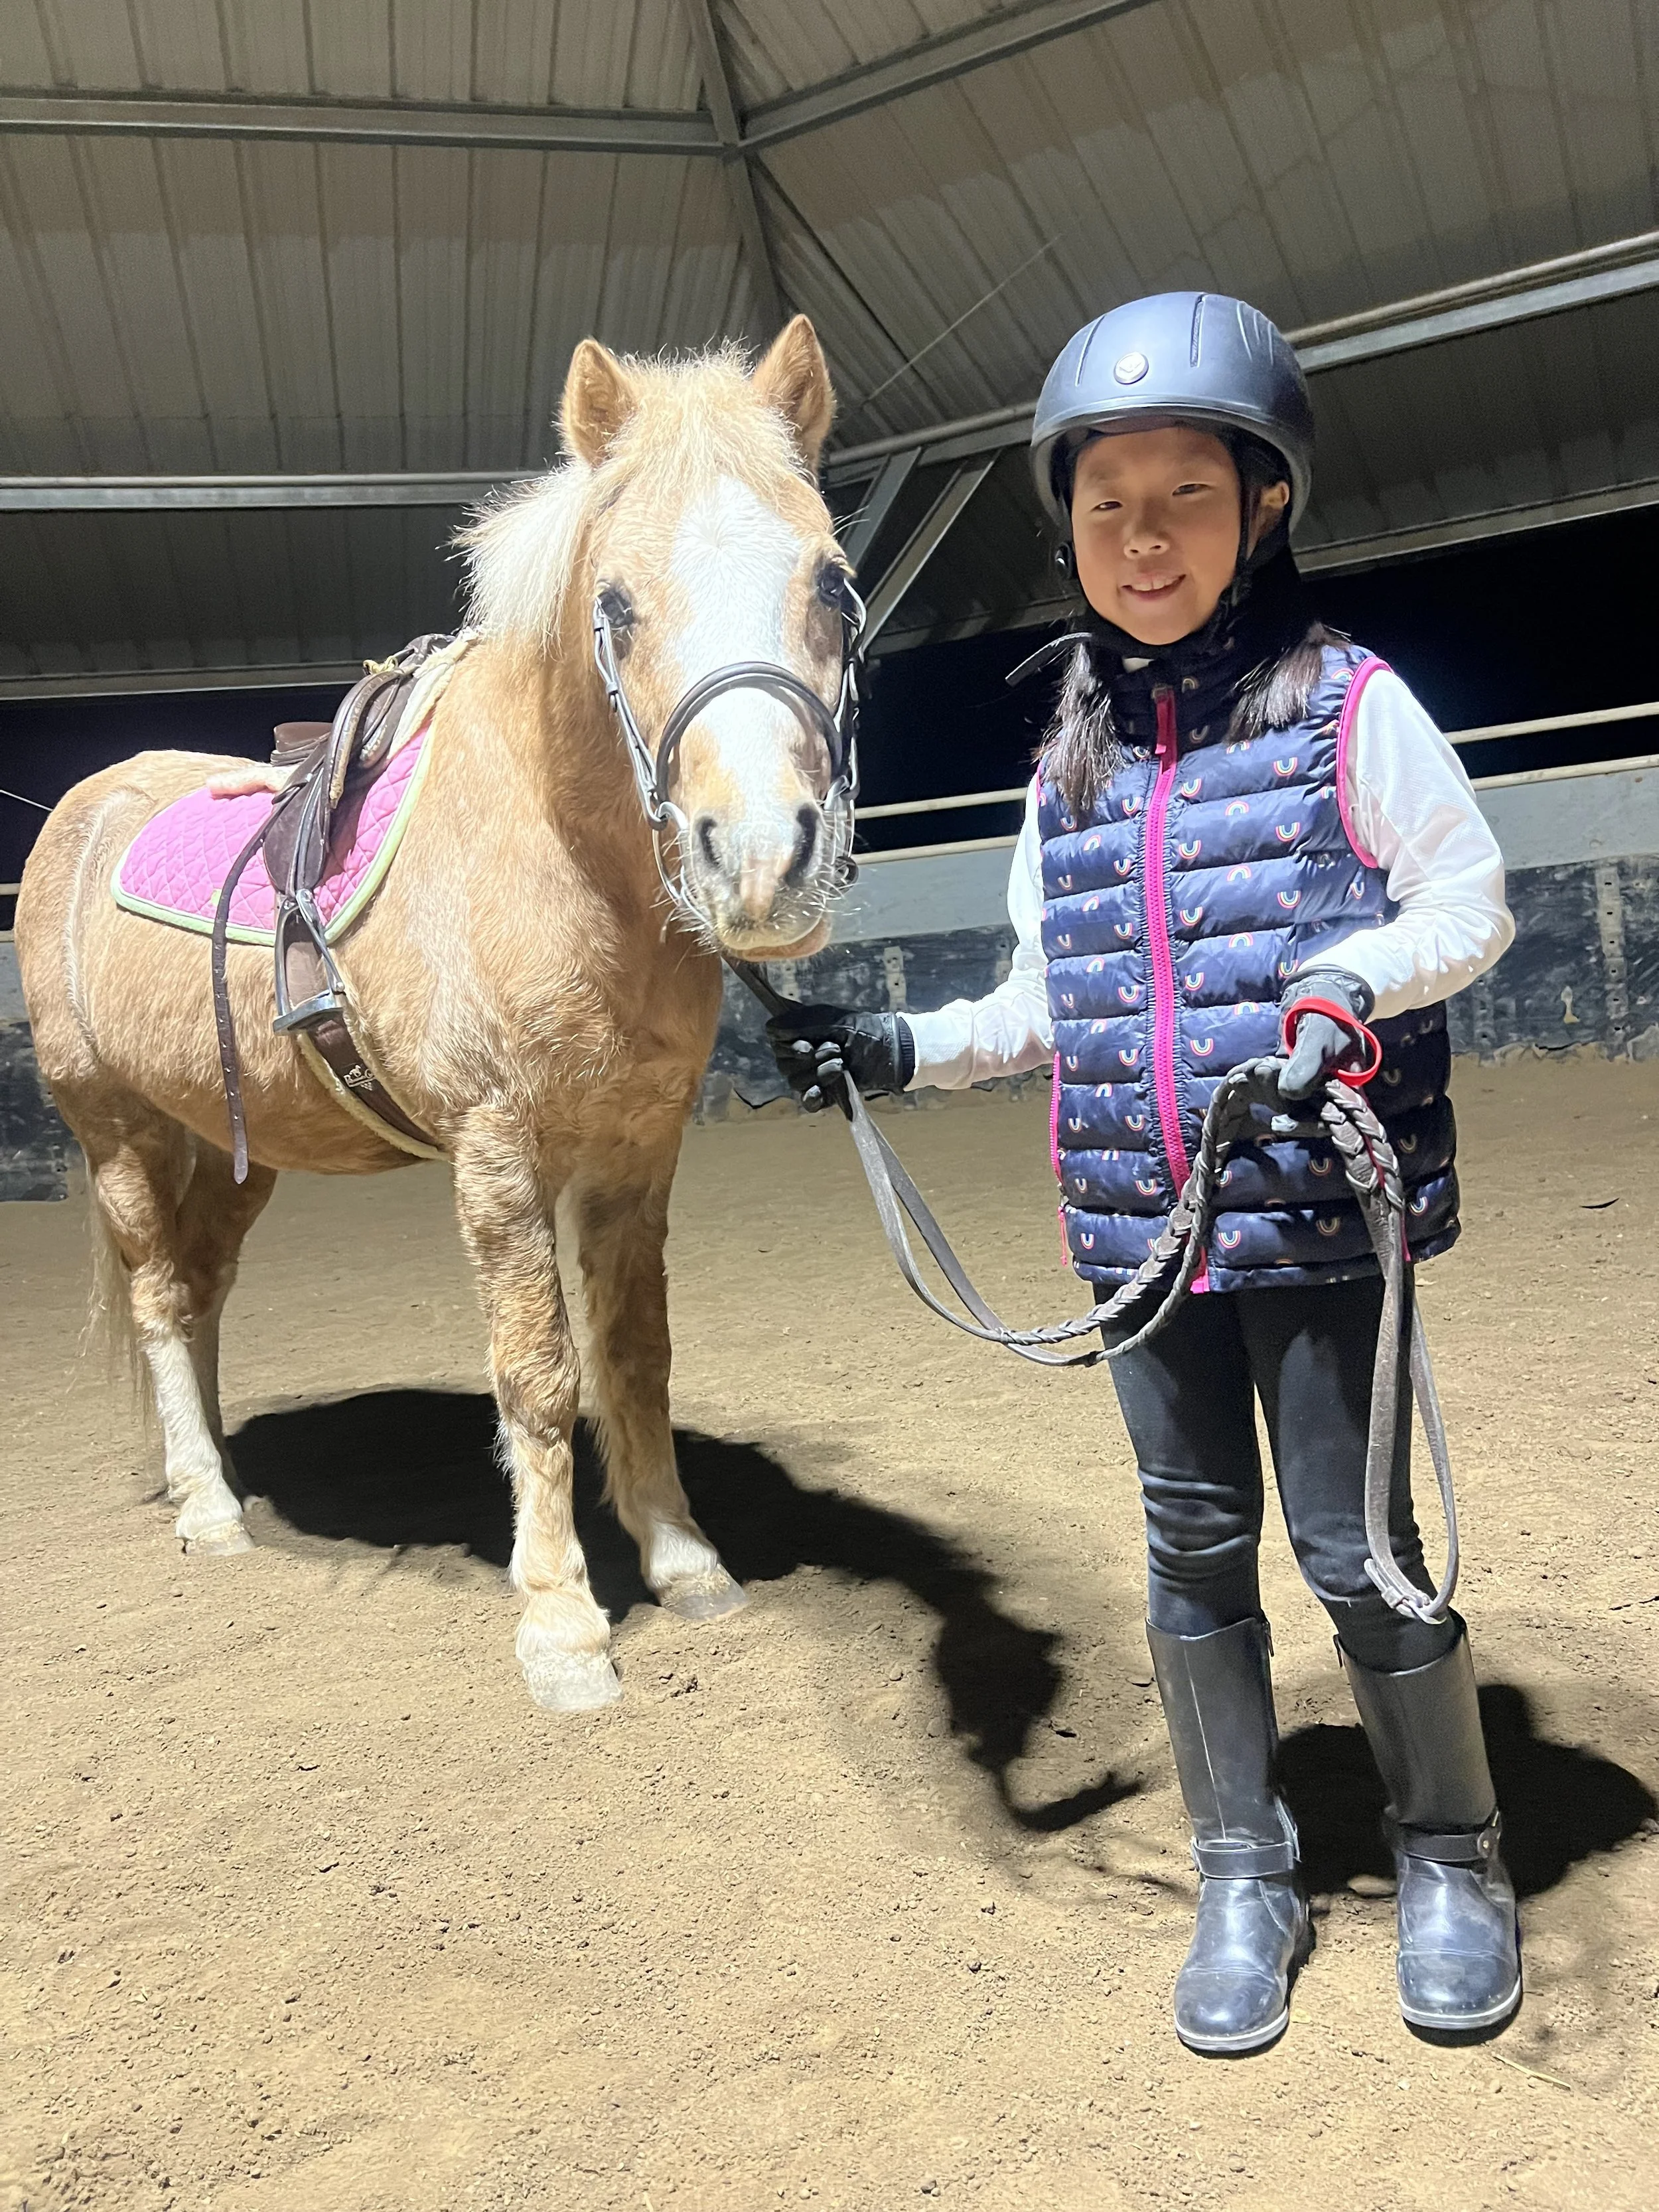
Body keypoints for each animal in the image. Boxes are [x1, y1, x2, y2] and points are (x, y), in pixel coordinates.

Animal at [15, 317, 855, 1713]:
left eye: (833, 585)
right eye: (616, 605)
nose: (762, 862)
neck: (556, 849)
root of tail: (84, 806)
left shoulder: (635, 1152)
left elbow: (634, 1352)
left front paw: (683, 1560)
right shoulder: (498, 1157)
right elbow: (539, 1374)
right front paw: (563, 1626)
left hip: (239, 1152)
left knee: (198, 1288)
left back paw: (225, 1467)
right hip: (114, 1129)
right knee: (157, 1296)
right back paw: (208, 1508)